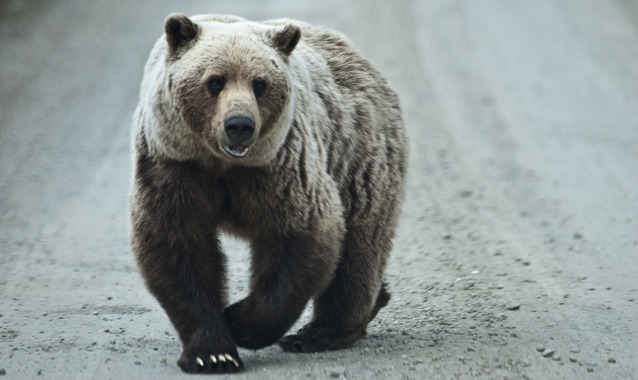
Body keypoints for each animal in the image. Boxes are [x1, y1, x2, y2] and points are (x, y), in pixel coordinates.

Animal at [131, 12, 410, 374]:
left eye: (259, 84)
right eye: (215, 81)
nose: (239, 124)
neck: (221, 164)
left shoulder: (279, 166)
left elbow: (301, 233)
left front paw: (238, 320)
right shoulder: (174, 167)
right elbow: (178, 246)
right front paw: (212, 354)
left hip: (358, 158)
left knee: (359, 249)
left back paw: (320, 332)